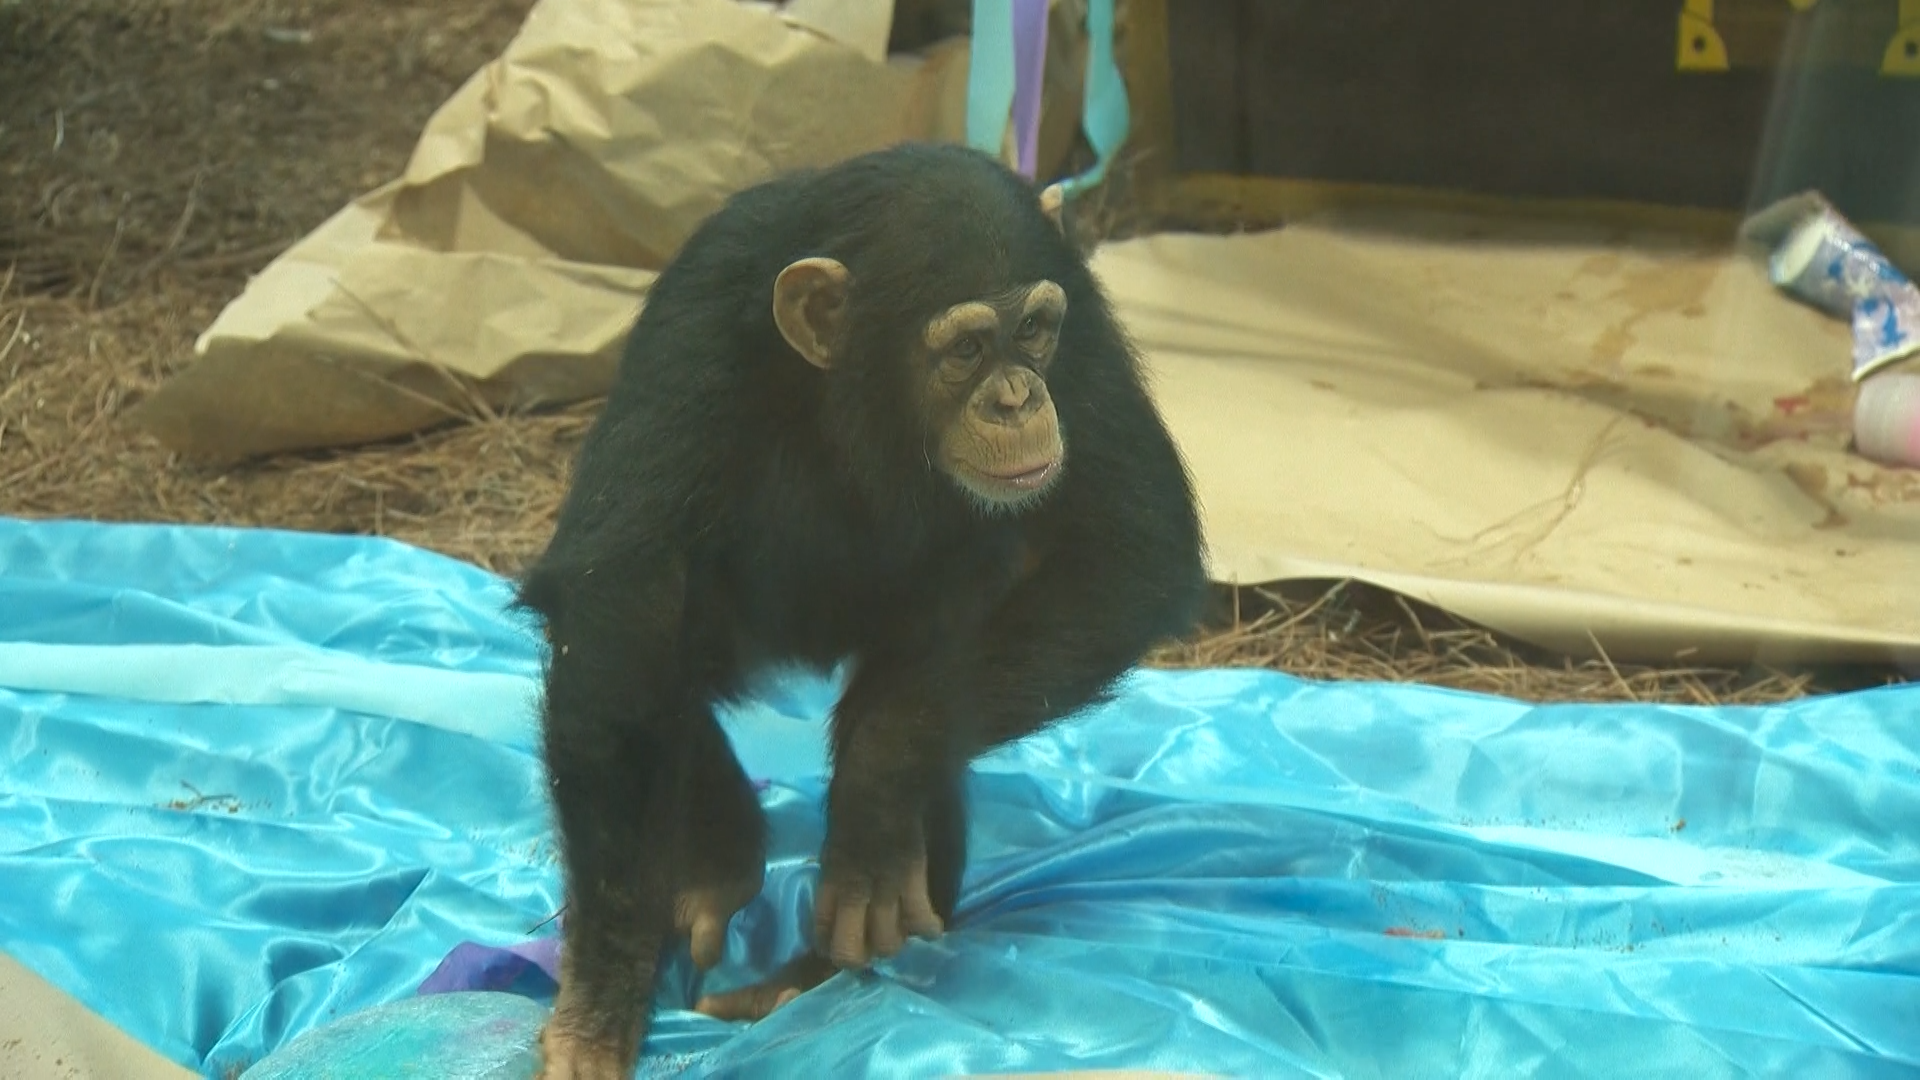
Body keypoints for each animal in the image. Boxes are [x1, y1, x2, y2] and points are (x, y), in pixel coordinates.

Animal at [518, 143, 1205, 1076]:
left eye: (1033, 331)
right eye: (966, 348)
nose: (1019, 398)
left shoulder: (1084, 328)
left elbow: (1129, 553)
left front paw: (876, 795)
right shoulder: (692, 331)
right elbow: (622, 601)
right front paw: (602, 992)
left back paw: (819, 959)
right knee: (662, 635)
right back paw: (715, 859)